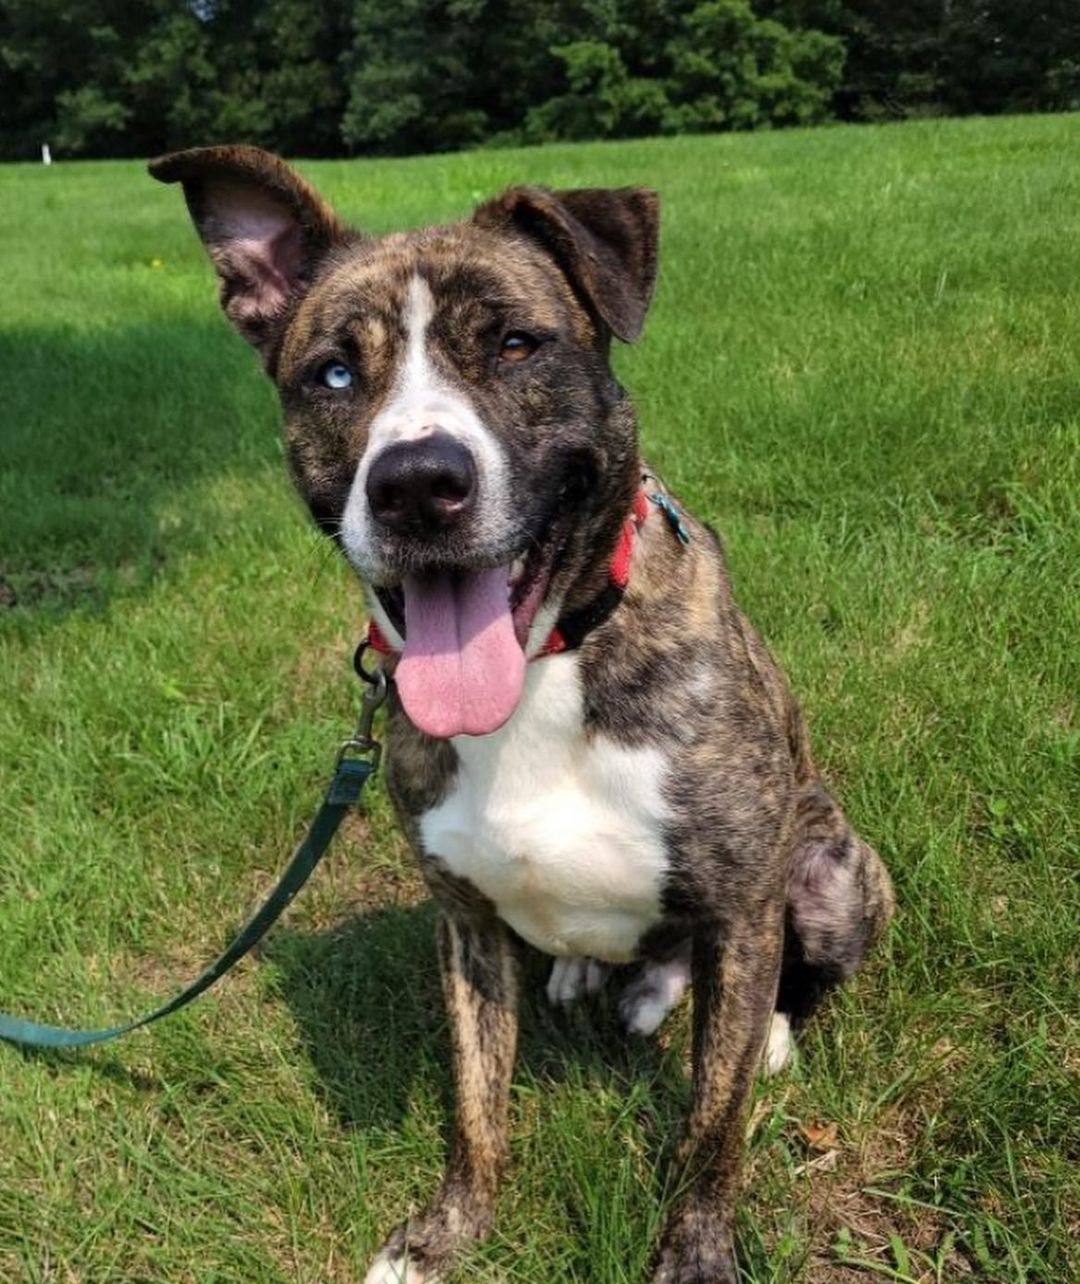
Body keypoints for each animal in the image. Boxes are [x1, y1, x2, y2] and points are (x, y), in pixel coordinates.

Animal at [149, 150, 893, 1284]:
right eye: (332, 374)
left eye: (513, 343)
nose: (417, 485)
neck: (550, 662)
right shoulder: (461, 920)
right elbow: (475, 1104)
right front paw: (444, 1234)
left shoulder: (739, 906)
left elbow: (710, 1124)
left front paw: (696, 1248)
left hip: (836, 871)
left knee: (776, 978)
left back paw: (762, 1030)